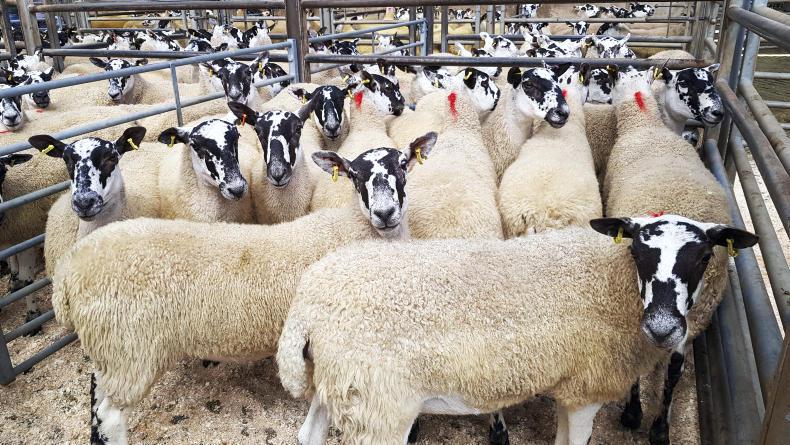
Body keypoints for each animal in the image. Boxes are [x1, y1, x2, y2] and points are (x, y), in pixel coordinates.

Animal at [54, 133, 437, 444]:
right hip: (130, 349)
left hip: (111, 350)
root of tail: (70, 269)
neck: (357, 228)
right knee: (111, 414)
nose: (385, 213)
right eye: (355, 177)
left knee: (97, 398)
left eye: (403, 166)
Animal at [276, 216, 757, 445]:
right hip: (379, 404)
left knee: (308, 436)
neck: (612, 286)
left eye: (703, 256)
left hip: (339, 385)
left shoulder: (571, 389)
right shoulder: (588, 389)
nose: (662, 326)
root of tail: (306, 303)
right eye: (639, 251)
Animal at [602, 65, 735, 445]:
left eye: (704, 258)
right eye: (685, 83)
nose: (717, 113)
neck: (645, 124)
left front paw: (659, 428)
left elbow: (673, 371)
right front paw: (634, 415)